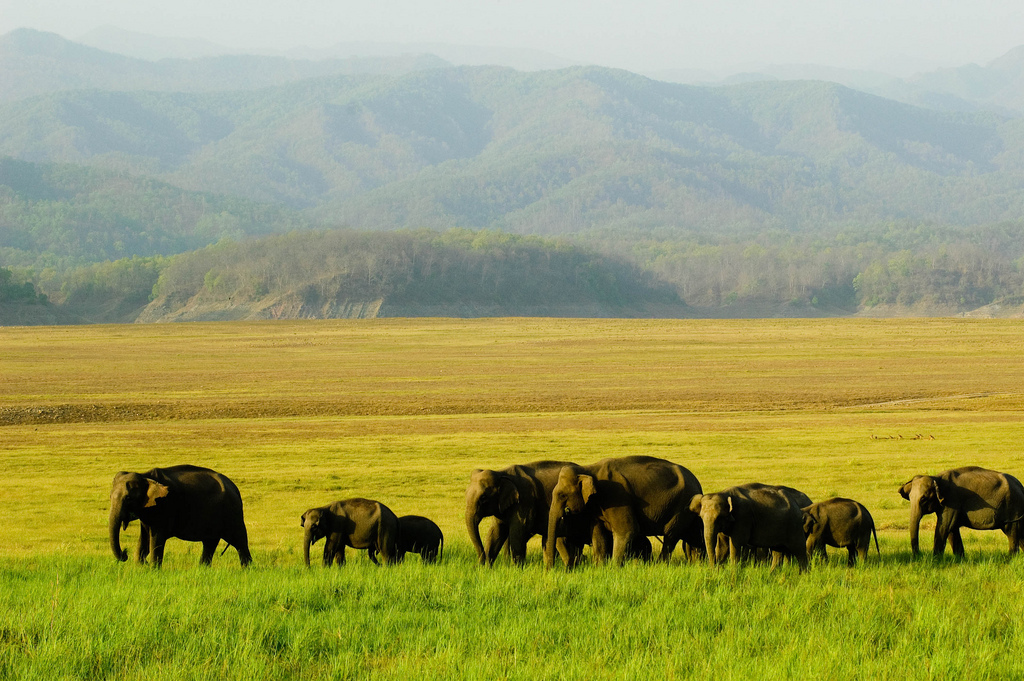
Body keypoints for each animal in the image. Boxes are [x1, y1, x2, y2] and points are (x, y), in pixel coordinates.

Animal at [107, 462, 251, 569]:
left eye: (128, 498)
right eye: (110, 496)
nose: (125, 553)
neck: (145, 476)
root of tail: (235, 488)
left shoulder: (164, 506)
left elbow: (156, 539)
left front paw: (153, 569)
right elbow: (145, 538)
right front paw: (141, 566)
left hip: (232, 513)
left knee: (240, 542)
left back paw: (247, 570)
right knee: (210, 543)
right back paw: (203, 569)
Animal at [544, 456, 704, 569]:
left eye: (562, 495)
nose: (550, 569)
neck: (589, 468)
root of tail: (697, 483)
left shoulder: (617, 495)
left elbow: (627, 531)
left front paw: (613, 569)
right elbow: (598, 534)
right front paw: (599, 568)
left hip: (681, 507)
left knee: (671, 535)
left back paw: (660, 565)